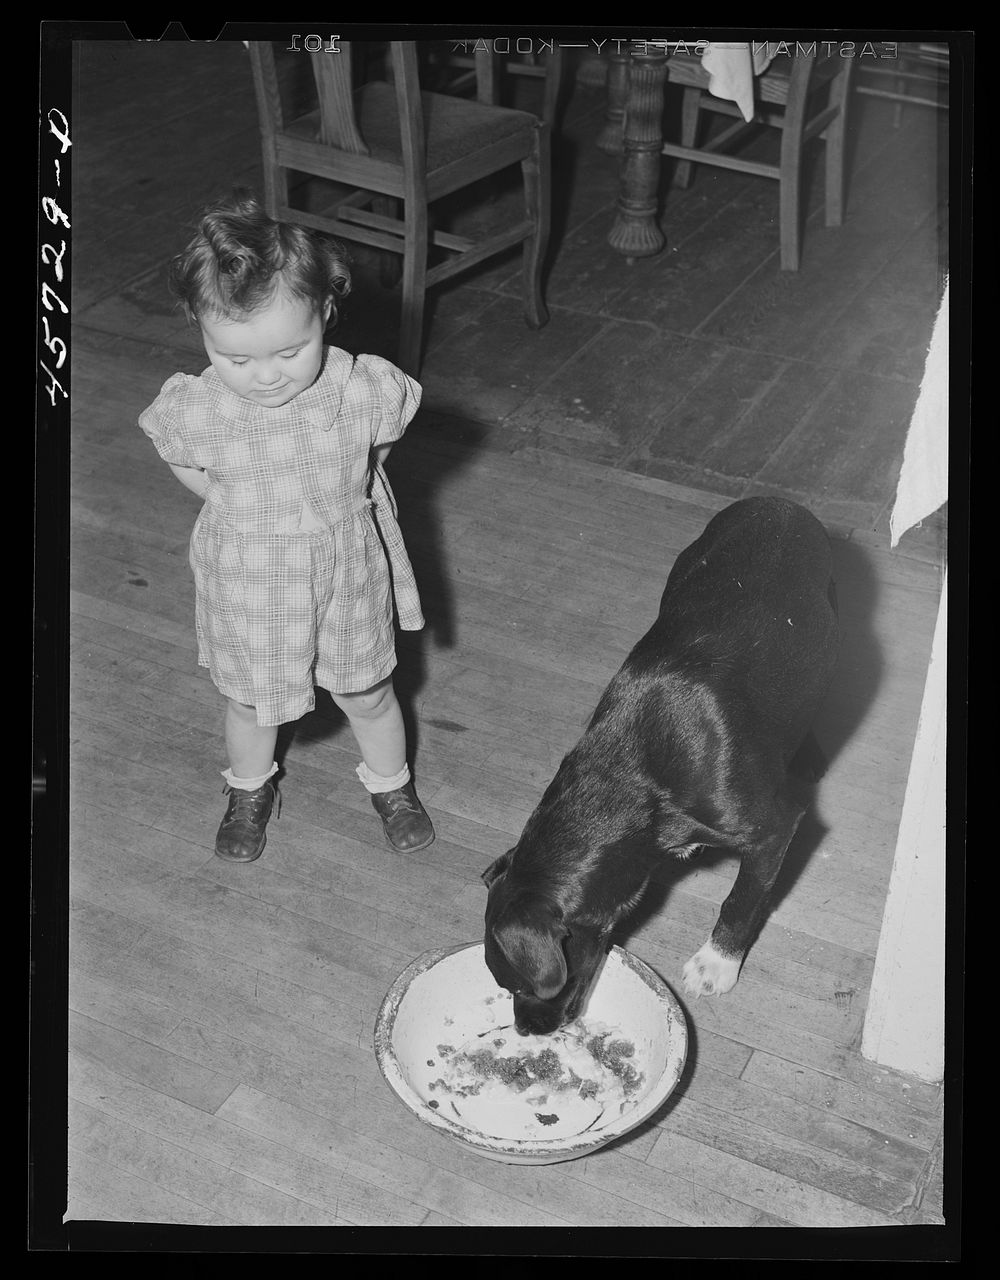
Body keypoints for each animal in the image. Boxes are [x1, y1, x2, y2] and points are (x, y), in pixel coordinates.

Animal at [478, 494, 839, 1034]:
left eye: (520, 988)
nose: (525, 1030)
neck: (626, 779)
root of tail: (776, 502)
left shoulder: (773, 827)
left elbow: (743, 898)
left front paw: (718, 962)